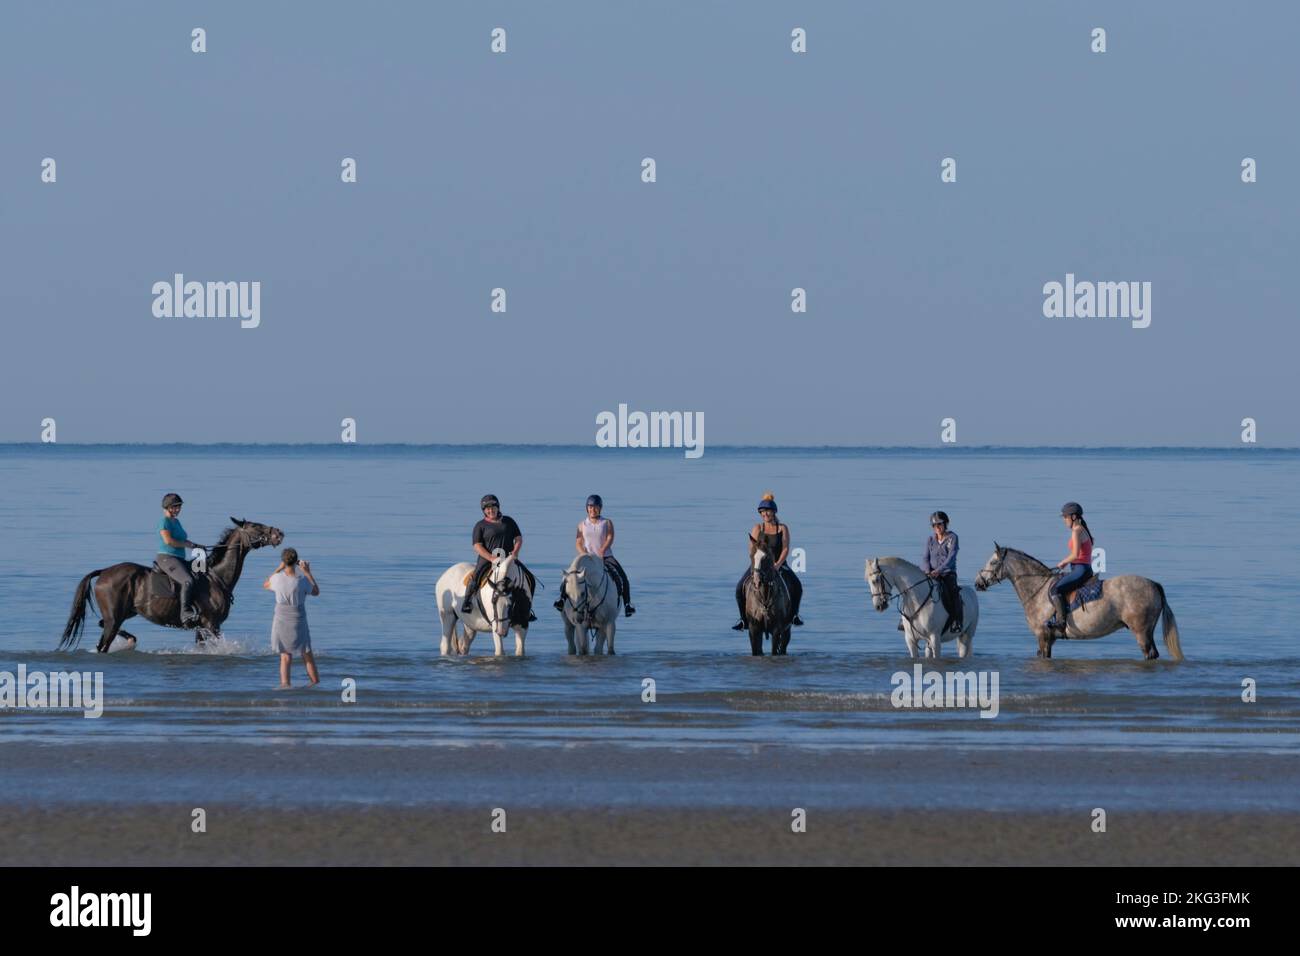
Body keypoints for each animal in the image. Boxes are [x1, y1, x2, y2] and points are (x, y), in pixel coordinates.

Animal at [60, 520, 284, 655]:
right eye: (256, 526)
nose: (279, 533)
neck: (217, 576)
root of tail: (104, 571)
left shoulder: (201, 627)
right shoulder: (212, 625)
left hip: (124, 613)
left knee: (102, 627)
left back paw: (131, 640)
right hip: (114, 618)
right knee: (103, 643)